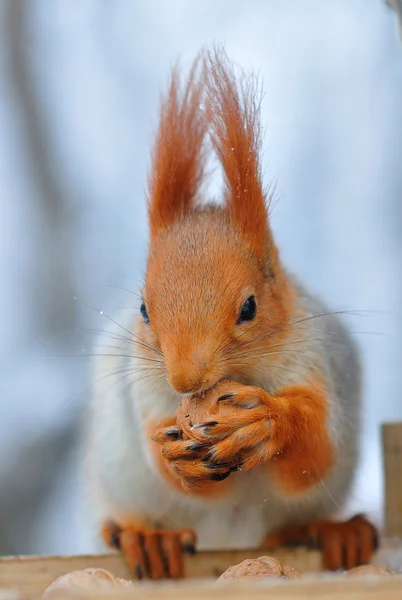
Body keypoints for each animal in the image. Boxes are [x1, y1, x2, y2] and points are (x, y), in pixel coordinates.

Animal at [85, 49, 376, 580]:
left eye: (249, 307)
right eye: (143, 308)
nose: (184, 379)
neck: (242, 375)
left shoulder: (315, 366)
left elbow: (315, 452)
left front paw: (269, 421)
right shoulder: (144, 396)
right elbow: (166, 462)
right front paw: (173, 454)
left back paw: (335, 532)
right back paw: (147, 538)